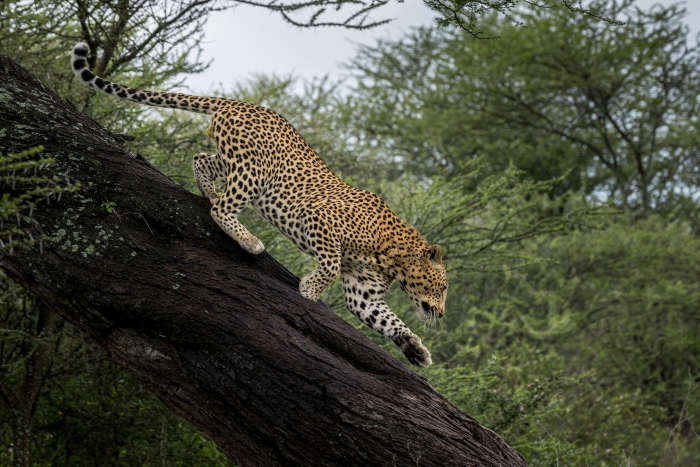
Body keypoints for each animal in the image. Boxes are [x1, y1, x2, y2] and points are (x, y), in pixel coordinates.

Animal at [70, 42, 448, 367]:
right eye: (442, 287)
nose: (442, 313)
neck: (393, 257)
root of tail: (240, 103)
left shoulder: (362, 292)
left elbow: (388, 320)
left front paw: (415, 349)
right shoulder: (320, 219)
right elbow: (330, 263)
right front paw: (309, 290)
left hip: (233, 161)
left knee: (200, 160)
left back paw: (208, 193)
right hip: (255, 172)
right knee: (222, 208)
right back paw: (249, 240)